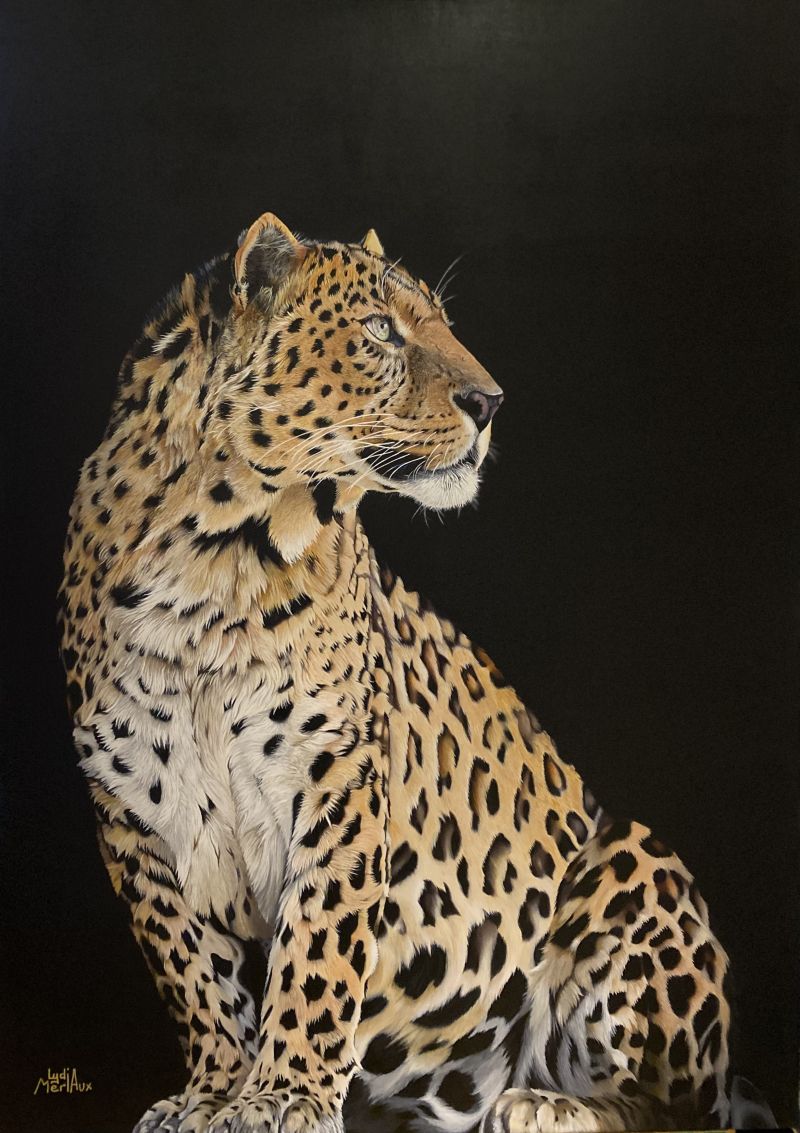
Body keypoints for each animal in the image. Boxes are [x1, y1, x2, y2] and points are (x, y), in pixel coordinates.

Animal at [59, 212, 750, 1133]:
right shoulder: (132, 808)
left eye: (443, 324)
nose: (491, 403)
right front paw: (213, 1092)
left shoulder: (338, 774)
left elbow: (318, 946)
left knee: (676, 1106)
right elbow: (191, 970)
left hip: (632, 862)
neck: (217, 560)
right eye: (381, 330)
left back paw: (543, 1103)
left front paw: (284, 1094)